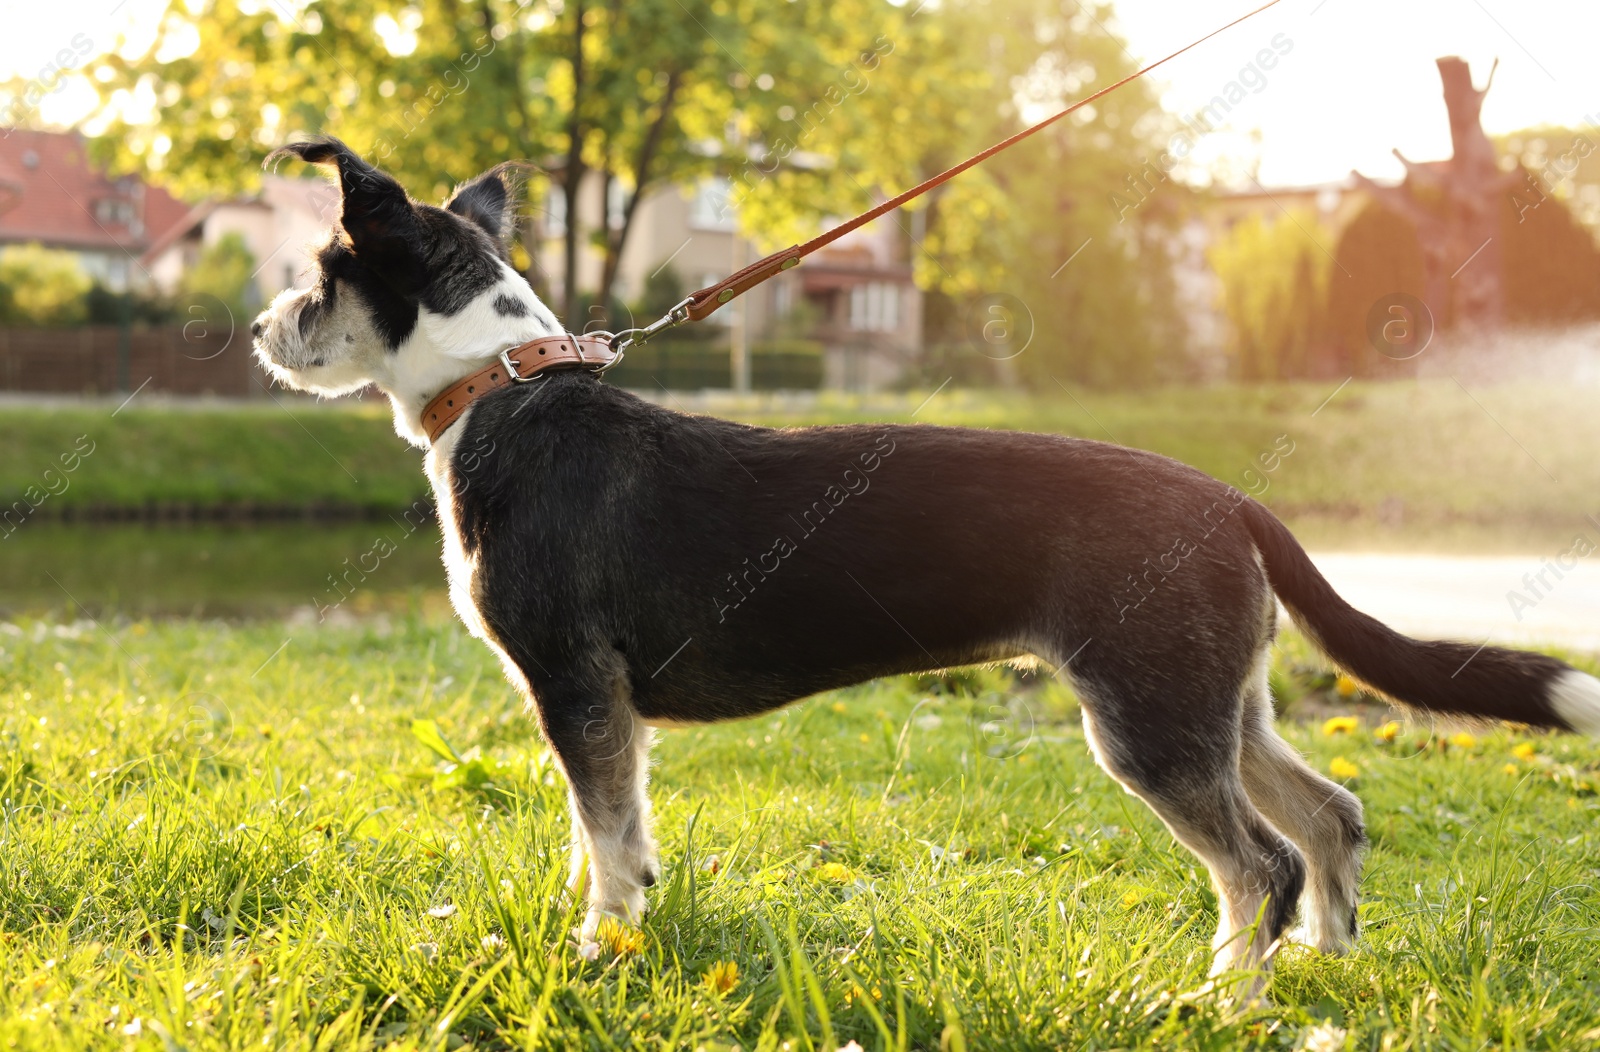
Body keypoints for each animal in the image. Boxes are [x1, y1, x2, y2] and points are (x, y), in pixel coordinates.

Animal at [252, 139, 1600, 984]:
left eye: (321, 274)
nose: (261, 327)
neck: (501, 392)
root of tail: (1235, 499)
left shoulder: (575, 688)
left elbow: (607, 847)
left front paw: (598, 957)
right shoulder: (604, 709)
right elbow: (613, 837)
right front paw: (611, 933)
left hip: (1149, 718)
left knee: (1257, 862)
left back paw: (1216, 998)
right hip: (1222, 699)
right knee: (1328, 817)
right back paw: (1316, 972)